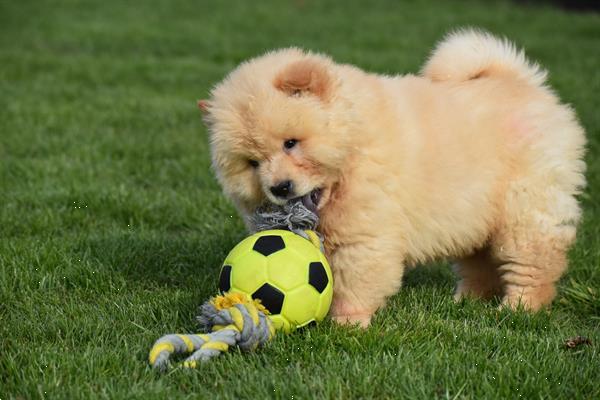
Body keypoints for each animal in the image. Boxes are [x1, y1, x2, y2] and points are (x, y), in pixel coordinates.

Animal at [200, 29, 584, 326]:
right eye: (252, 163)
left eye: (291, 143)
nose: (279, 188)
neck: (354, 145)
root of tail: (522, 81)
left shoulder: (365, 235)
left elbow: (354, 281)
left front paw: (346, 324)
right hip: (475, 216)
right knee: (480, 263)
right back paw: (466, 300)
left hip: (525, 207)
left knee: (534, 261)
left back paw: (519, 308)